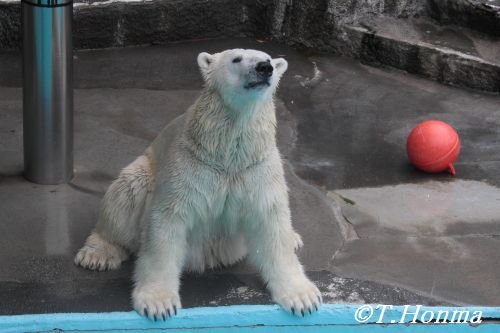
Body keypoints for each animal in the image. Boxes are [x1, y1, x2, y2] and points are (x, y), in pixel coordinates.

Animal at [75, 48, 324, 320]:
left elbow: (271, 222)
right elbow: (167, 224)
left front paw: (303, 298)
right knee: (125, 194)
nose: (264, 68)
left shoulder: (256, 167)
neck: (227, 152)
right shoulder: (191, 164)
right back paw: (97, 254)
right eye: (236, 58)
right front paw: (158, 303)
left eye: (268, 59)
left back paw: (294, 237)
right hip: (142, 173)